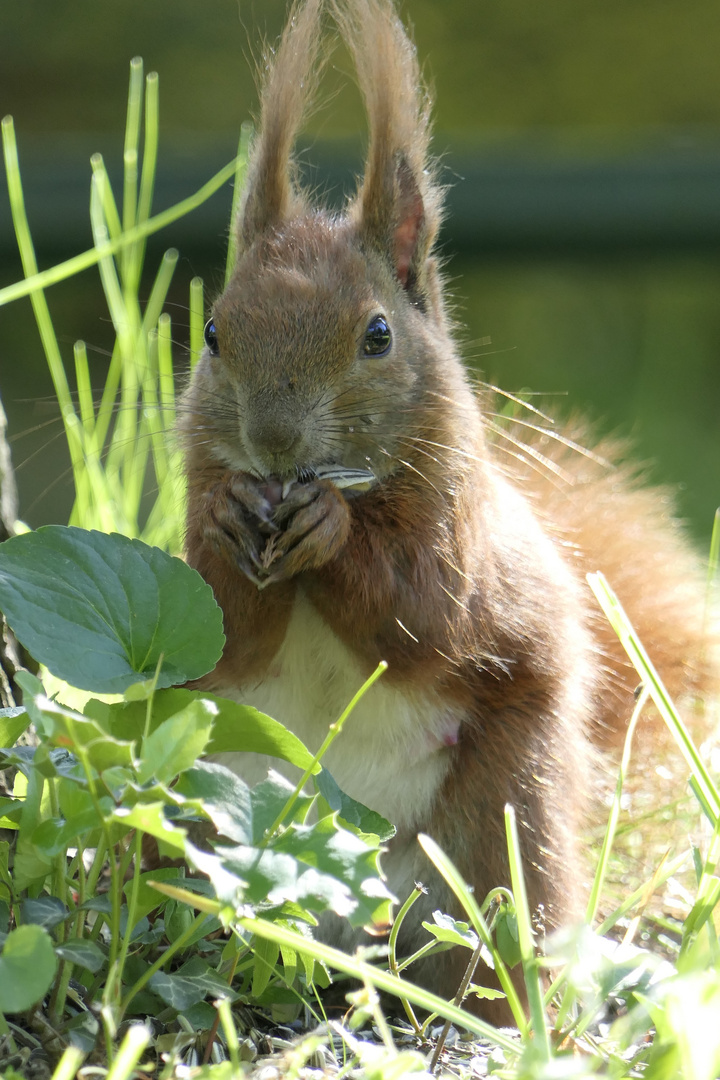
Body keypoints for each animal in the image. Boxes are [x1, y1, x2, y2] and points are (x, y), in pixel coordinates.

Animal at [183, 0, 716, 1010]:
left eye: (378, 336)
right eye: (213, 332)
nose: (274, 443)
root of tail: (337, 907)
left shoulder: (465, 546)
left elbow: (427, 615)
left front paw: (333, 533)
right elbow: (224, 626)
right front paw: (234, 519)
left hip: (497, 832)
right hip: (209, 822)